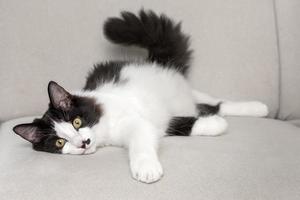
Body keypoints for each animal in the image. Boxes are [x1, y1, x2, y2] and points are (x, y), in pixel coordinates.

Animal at [12, 10, 268, 184]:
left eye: (76, 122)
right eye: (59, 142)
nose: (83, 143)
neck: (103, 131)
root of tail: (156, 62)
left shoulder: (139, 123)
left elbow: (143, 145)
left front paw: (146, 169)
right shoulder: (154, 124)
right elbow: (180, 124)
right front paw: (215, 125)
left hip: (179, 94)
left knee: (214, 102)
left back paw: (259, 107)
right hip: (183, 100)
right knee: (209, 105)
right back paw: (257, 109)